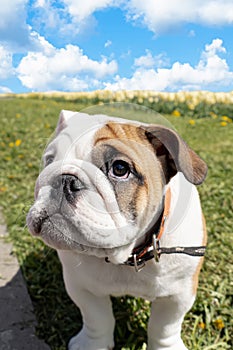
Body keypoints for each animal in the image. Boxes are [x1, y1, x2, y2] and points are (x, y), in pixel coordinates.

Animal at [27, 110, 208, 350]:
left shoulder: (178, 294)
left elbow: (164, 327)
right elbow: (97, 318)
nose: (64, 178)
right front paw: (92, 344)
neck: (127, 256)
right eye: (49, 160)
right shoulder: (81, 287)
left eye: (120, 169)